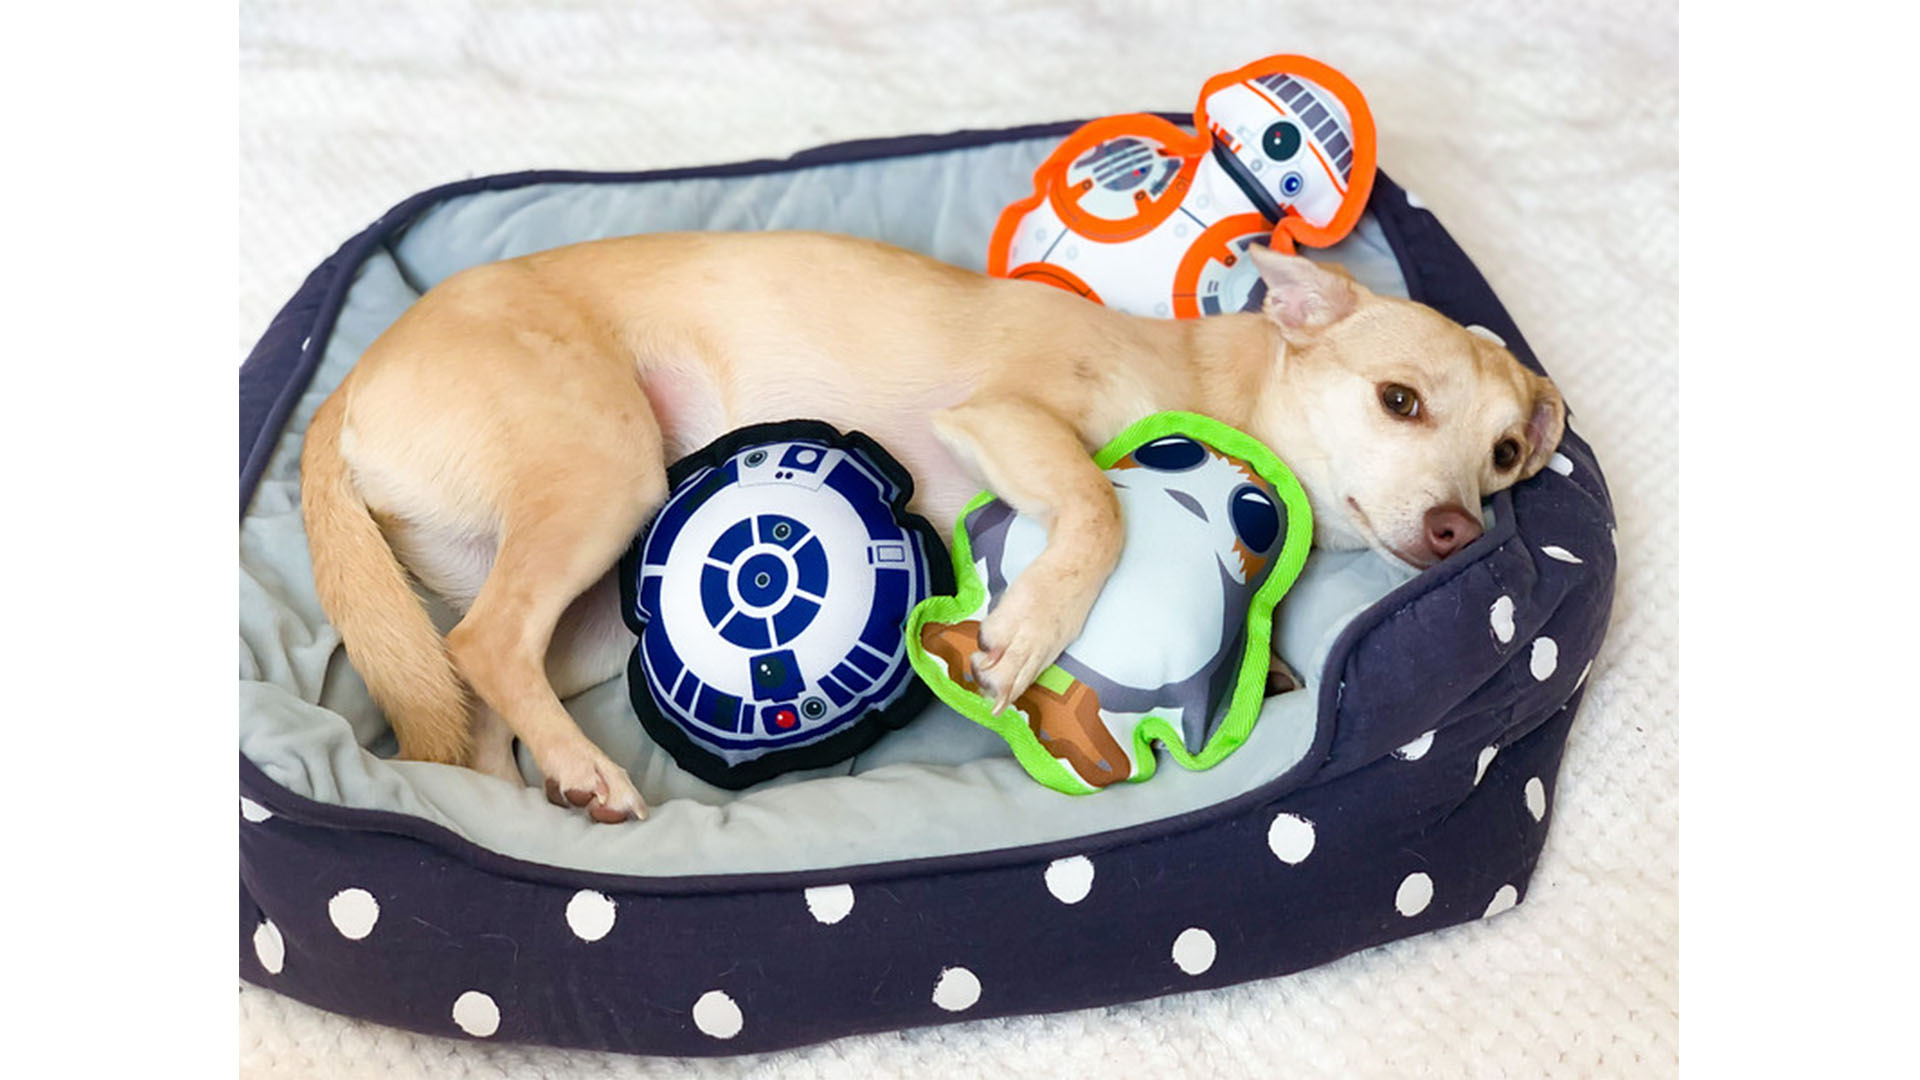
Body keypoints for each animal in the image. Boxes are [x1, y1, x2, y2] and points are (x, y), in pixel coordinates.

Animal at [295, 231, 1559, 818]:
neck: (1218, 381)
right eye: (1399, 401)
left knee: (478, 690)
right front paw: (1033, 632)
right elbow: (1095, 503)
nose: (1459, 531)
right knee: (484, 645)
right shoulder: (1004, 420)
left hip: (594, 616)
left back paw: (533, 792)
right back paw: (581, 771)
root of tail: (345, 389)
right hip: (611, 479)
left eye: (1505, 455)